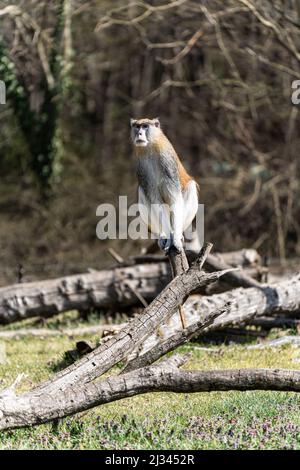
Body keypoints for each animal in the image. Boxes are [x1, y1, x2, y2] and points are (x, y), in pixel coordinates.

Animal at [129, 117, 198, 253]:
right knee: (142, 191)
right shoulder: (142, 168)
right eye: (137, 126)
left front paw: (175, 239)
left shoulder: (167, 162)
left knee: (191, 186)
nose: (139, 133)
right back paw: (162, 234)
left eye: (145, 126)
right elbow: (155, 200)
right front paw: (168, 238)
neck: (150, 147)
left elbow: (175, 199)